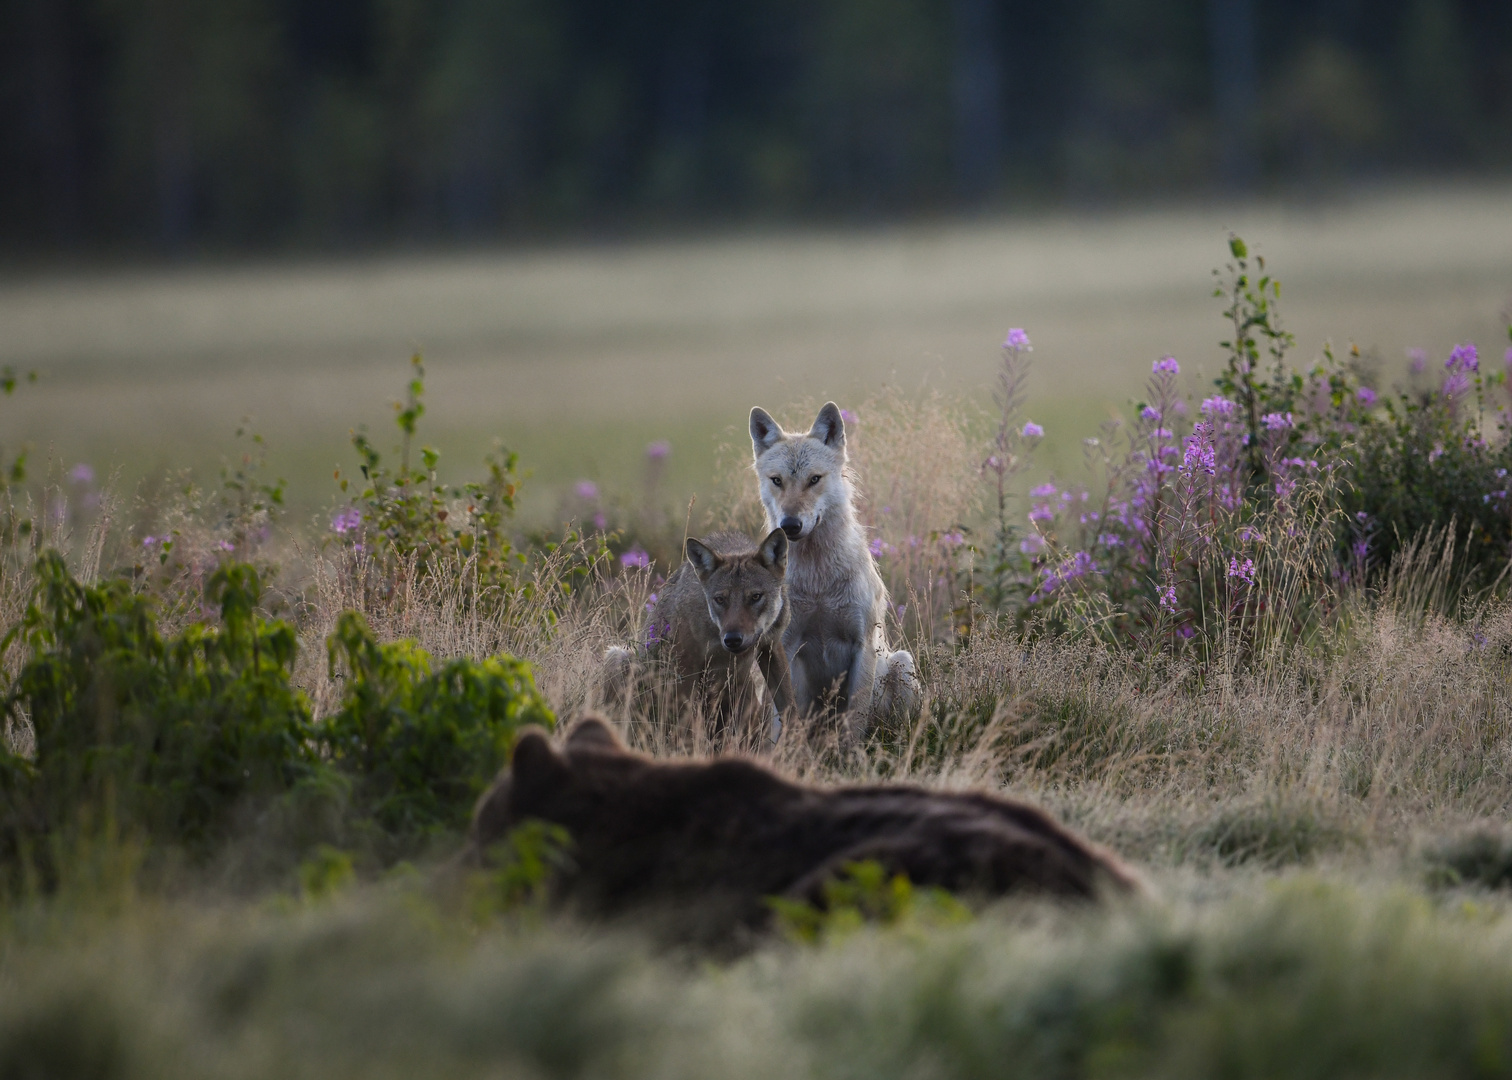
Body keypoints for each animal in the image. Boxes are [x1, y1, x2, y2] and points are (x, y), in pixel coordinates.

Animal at [746, 399, 913, 744]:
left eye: (814, 479)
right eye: (777, 480)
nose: (790, 525)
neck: (819, 580)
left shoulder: (862, 644)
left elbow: (855, 722)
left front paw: (852, 756)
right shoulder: (784, 645)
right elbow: (782, 718)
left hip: (903, 663)